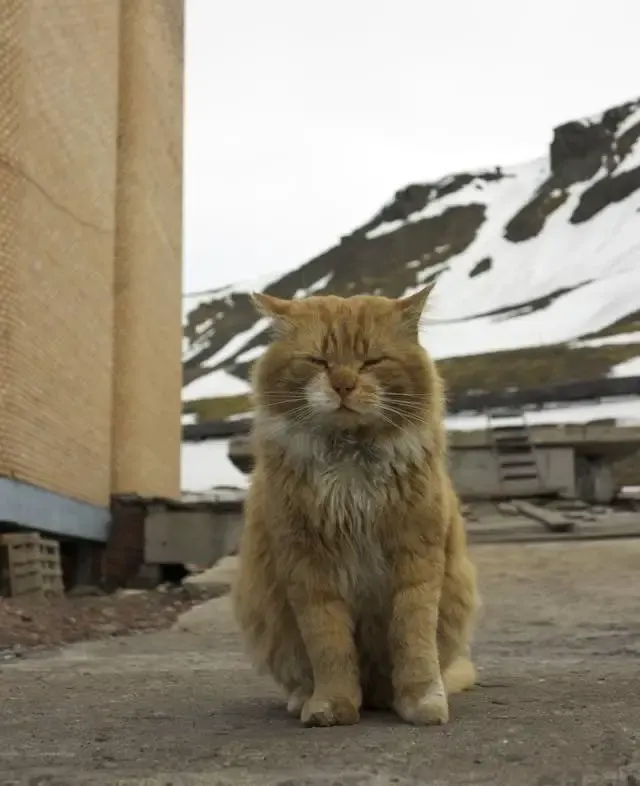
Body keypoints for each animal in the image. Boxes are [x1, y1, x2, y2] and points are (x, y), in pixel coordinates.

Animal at [231, 284, 480, 724]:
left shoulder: (416, 560)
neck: (350, 466)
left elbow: (414, 641)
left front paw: (420, 702)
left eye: (372, 361)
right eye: (318, 361)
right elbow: (329, 648)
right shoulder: (309, 569)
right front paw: (332, 706)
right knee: (301, 676)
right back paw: (304, 699)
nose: (343, 385)